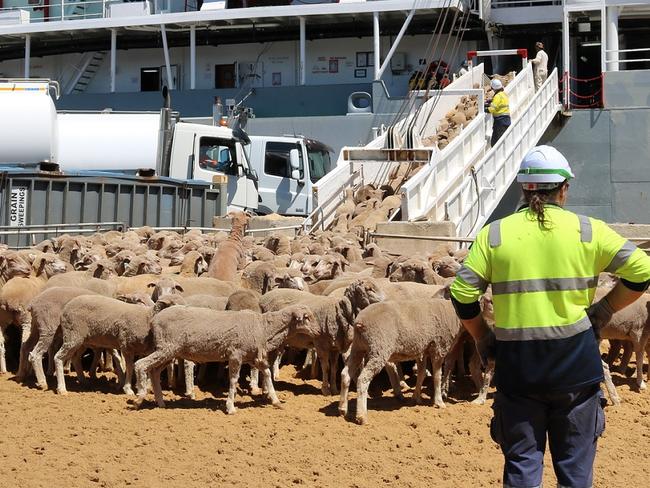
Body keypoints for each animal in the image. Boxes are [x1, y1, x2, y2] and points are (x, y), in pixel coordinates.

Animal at [132, 304, 314, 412]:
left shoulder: (252, 357)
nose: (318, 331)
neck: (264, 328)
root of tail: (154, 320)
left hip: (169, 351)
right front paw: (230, 407)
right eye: (307, 317)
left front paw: (275, 400)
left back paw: (160, 403)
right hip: (166, 348)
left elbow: (267, 373)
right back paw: (139, 397)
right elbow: (233, 380)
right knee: (140, 364)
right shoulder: (236, 355)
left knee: (154, 372)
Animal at [336, 298, 464, 424]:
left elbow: (421, 374)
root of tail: (360, 322)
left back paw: (343, 409)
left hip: (358, 347)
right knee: (362, 379)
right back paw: (362, 416)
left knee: (345, 374)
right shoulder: (438, 347)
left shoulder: (422, 350)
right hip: (379, 348)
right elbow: (437, 377)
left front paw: (416, 398)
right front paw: (439, 402)